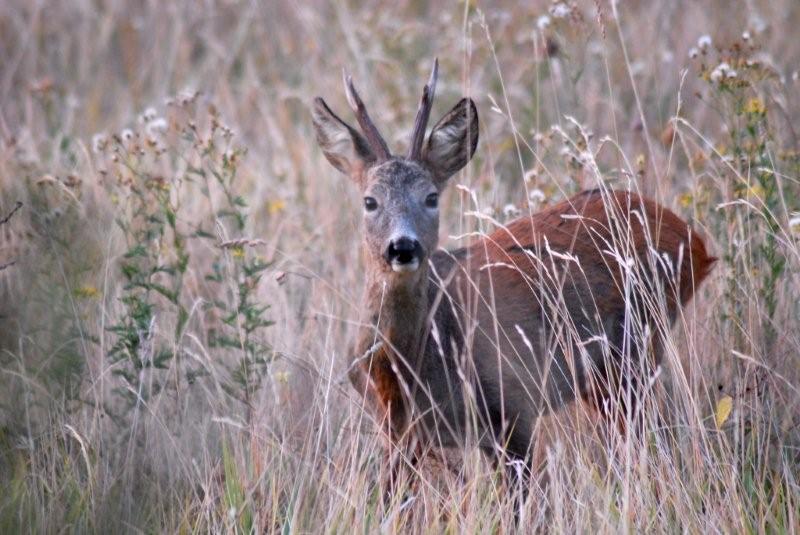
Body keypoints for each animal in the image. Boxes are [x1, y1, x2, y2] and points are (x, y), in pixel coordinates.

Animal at [310, 58, 716, 490]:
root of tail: (694, 240)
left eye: (432, 197)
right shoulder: (399, 431)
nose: (403, 247)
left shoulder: (513, 405)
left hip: (635, 348)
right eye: (370, 201)